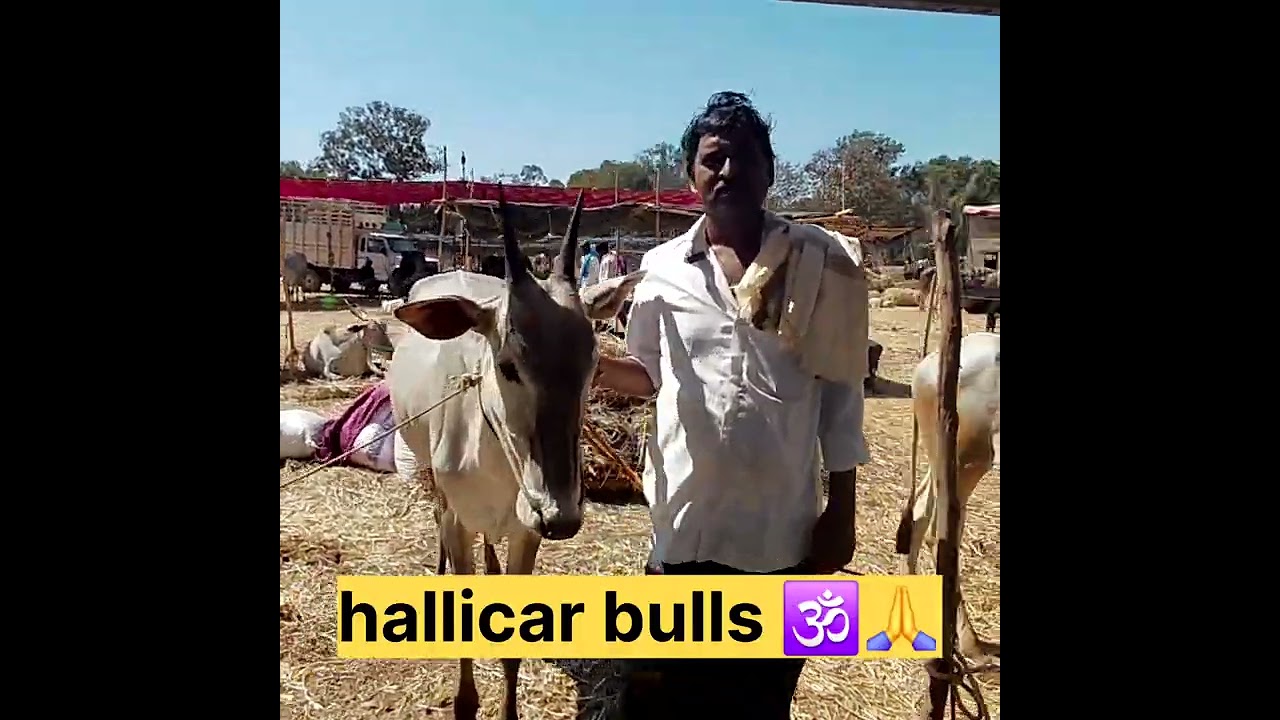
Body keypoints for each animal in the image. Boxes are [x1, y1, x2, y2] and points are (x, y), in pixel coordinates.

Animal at [896, 330, 1000, 662]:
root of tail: (927, 366)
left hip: (943, 459)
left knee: (919, 514)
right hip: (966, 460)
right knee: (940, 534)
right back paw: (969, 644)